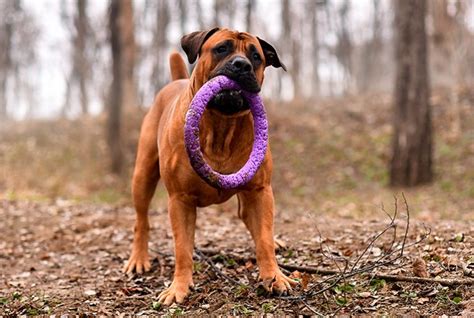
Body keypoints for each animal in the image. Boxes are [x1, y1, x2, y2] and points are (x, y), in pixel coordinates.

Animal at [122, 28, 296, 304]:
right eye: (221, 49)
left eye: (256, 56)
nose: (242, 65)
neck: (221, 126)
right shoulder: (180, 200)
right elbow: (182, 248)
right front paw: (178, 288)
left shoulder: (260, 191)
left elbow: (264, 240)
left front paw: (274, 277)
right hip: (142, 175)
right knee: (141, 220)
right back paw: (138, 259)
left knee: (251, 220)